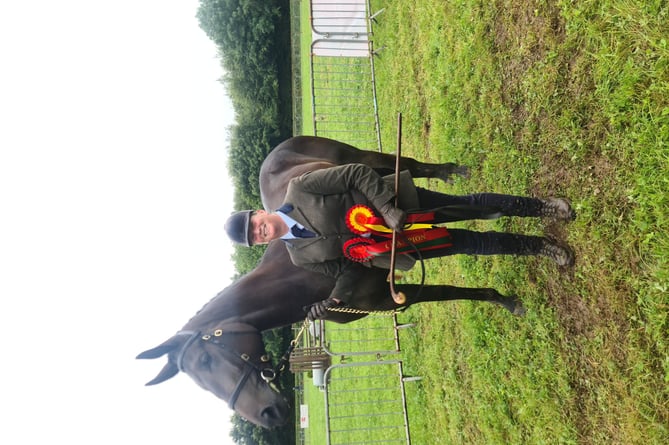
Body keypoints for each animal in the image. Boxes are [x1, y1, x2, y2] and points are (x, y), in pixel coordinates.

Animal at [137, 135, 520, 426]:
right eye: (200, 382)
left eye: (205, 360)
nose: (268, 415)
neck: (295, 278)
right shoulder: (384, 295)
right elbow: (447, 283)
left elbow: (450, 287)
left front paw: (503, 299)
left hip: (364, 159)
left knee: (409, 165)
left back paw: (451, 171)